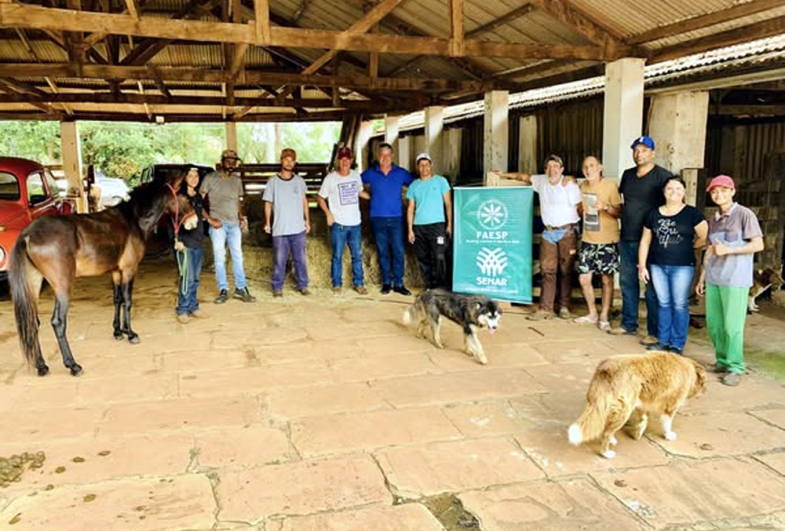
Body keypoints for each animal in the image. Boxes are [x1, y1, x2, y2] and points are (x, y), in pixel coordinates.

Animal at [9, 172, 196, 376]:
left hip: (34, 284)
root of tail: (28, 234)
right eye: (185, 197)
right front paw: (130, 333)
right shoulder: (129, 270)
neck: (133, 220)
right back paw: (73, 365)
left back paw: (41, 365)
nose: (194, 221)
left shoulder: (116, 272)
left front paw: (118, 331)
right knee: (58, 322)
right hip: (62, 286)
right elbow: (128, 301)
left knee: (32, 321)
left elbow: (117, 299)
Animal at [564, 354, 704, 458]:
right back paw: (606, 453)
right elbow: (667, 423)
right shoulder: (670, 406)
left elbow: (643, 420)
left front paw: (638, 433)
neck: (689, 367)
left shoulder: (642, 404)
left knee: (608, 427)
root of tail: (606, 369)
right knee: (607, 433)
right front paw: (668, 435)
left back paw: (612, 440)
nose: (705, 391)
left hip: (608, 406)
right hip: (624, 409)